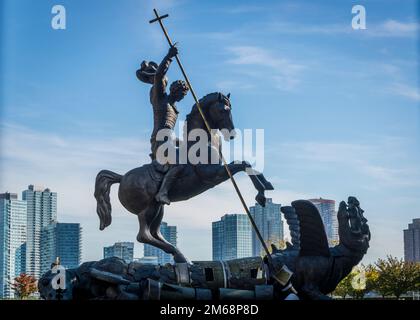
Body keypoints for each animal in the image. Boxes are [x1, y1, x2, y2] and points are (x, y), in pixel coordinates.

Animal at [94, 92, 272, 262]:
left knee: (155, 233)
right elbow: (242, 164)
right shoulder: (213, 174)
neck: (202, 142)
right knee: (143, 235)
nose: (232, 134)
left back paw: (180, 255)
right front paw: (260, 195)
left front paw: (266, 187)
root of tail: (122, 177)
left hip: (158, 208)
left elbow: (246, 164)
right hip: (146, 209)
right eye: (223, 110)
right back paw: (177, 253)